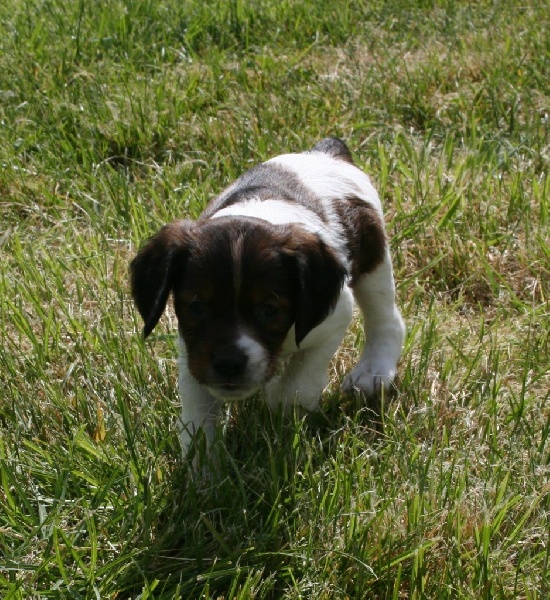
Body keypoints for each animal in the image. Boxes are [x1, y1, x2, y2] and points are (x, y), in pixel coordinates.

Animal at [131, 137, 405, 455]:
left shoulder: (334, 319)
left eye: (269, 309)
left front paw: (281, 400)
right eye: (196, 306)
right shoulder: (192, 351)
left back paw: (373, 372)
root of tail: (326, 152)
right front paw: (201, 462)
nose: (228, 363)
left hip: (374, 262)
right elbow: (197, 411)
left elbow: (298, 384)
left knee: (386, 320)